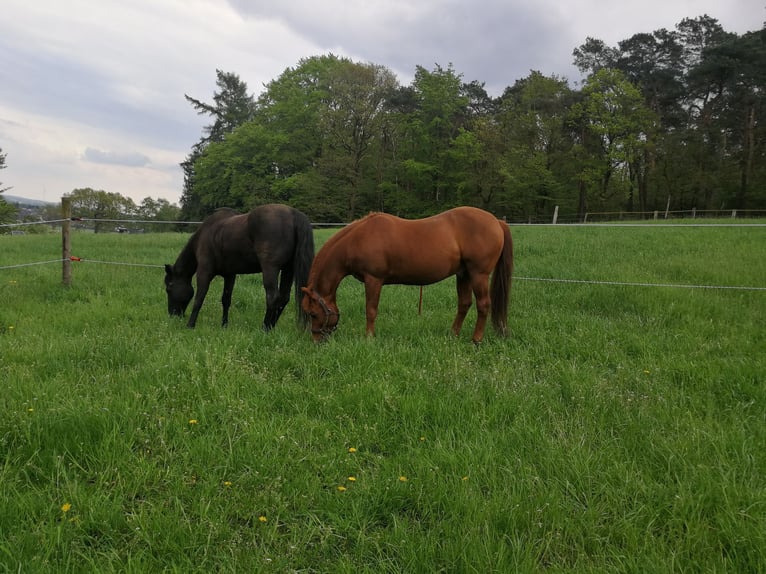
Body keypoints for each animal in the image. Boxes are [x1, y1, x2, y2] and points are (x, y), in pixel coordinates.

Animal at [165, 206, 316, 332]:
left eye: (169, 287)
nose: (172, 314)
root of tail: (293, 214)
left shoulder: (204, 272)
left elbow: (199, 299)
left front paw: (190, 325)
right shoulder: (230, 275)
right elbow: (226, 300)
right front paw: (224, 325)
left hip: (271, 269)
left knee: (273, 297)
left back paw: (265, 329)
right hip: (288, 270)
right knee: (283, 298)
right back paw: (271, 327)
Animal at [304, 206, 512, 344]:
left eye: (313, 313)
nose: (316, 340)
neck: (358, 239)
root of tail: (497, 221)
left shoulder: (373, 280)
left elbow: (370, 310)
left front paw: (369, 338)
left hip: (478, 274)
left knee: (483, 305)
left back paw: (476, 340)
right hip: (464, 275)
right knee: (464, 304)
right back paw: (453, 334)